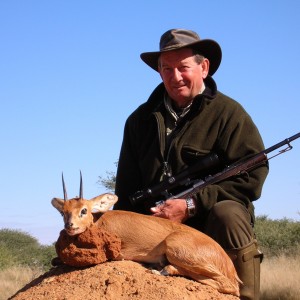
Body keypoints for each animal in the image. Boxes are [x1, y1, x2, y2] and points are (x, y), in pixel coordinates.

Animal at [51, 172, 239, 296]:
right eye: (64, 212)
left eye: (84, 210)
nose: (70, 226)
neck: (98, 220)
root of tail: (229, 264)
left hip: (176, 248)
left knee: (229, 286)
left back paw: (161, 270)